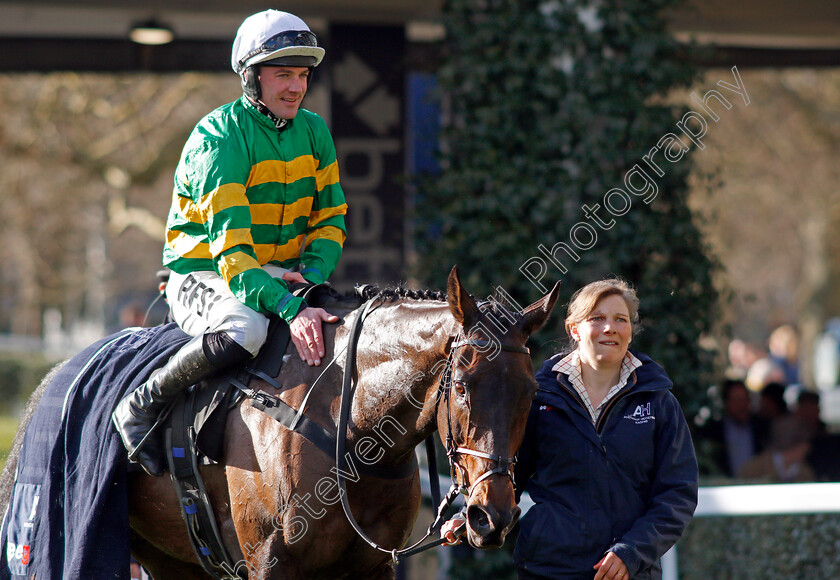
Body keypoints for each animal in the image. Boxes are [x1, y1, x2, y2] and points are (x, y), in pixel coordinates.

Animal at [8, 268, 556, 580]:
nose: (492, 516)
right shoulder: (270, 562)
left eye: (532, 394)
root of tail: (51, 379)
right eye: (462, 386)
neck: (350, 431)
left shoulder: (372, 566)